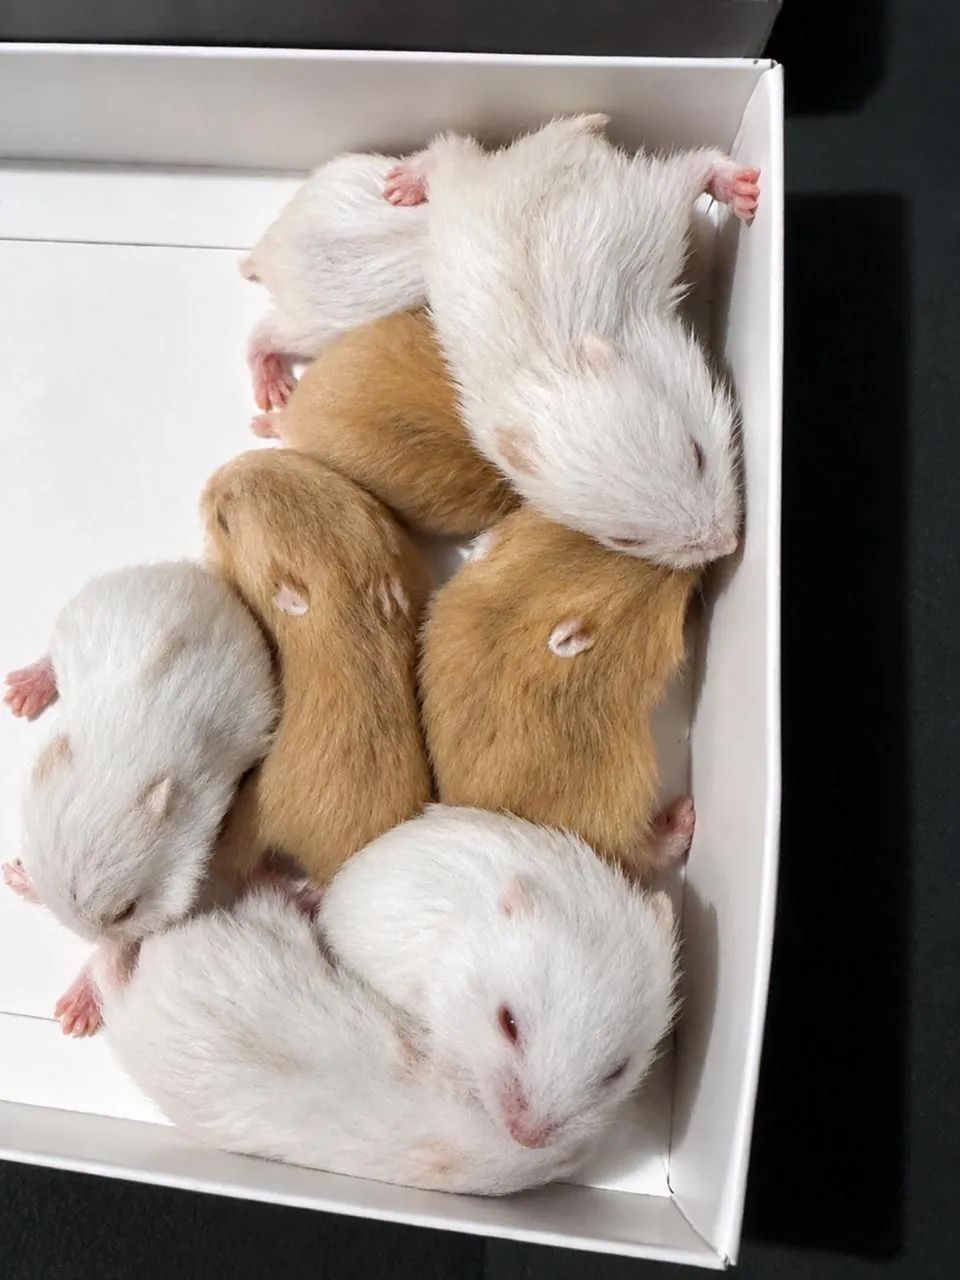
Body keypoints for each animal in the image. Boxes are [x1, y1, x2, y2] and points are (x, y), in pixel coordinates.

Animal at [1, 562, 276, 1034]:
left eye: (127, 909)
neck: (118, 764)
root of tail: (190, 572)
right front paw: (19, 875)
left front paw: (76, 1012)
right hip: (78, 616)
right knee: (50, 656)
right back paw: (20, 693)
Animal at [384, 114, 760, 570]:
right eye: (625, 540)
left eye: (698, 453)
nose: (729, 545)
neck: (556, 365)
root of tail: (559, 139)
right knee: (448, 150)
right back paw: (401, 184)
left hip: (648, 205)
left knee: (695, 166)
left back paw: (743, 191)